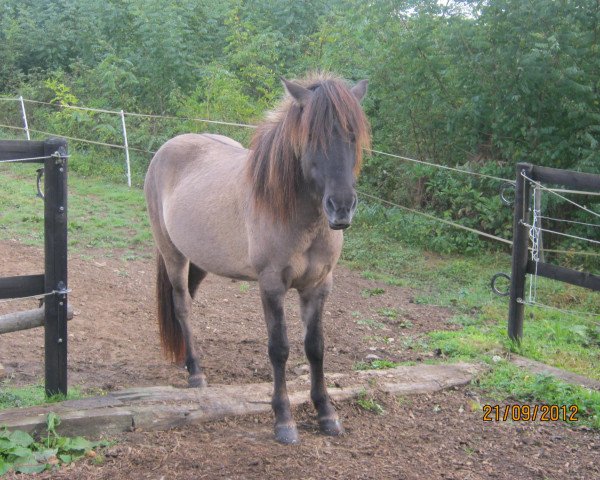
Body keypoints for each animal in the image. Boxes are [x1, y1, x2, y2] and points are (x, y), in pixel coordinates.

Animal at [145, 71, 370, 442]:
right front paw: (284, 420)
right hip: (173, 254)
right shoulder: (272, 285)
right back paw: (196, 373)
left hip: (200, 259)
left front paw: (326, 413)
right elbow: (279, 348)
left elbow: (315, 347)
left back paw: (186, 360)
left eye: (353, 135)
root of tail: (167, 148)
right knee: (182, 306)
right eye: (311, 138)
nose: (341, 207)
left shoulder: (319, 286)